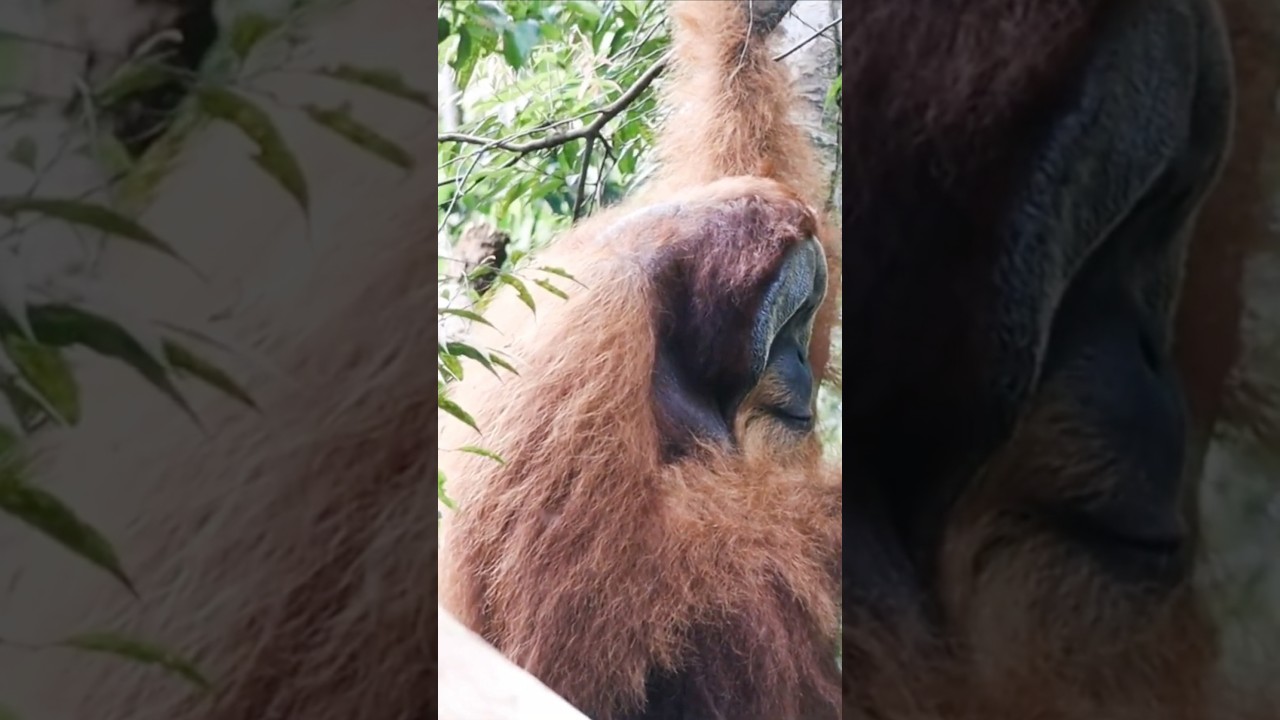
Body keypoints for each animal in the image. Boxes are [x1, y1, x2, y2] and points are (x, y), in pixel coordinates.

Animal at [437, 1, 843, 719]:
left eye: (807, 321)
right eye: (788, 325)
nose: (800, 363)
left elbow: (748, 149)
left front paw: (744, 28)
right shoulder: (585, 348)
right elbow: (583, 606)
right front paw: (840, 516)